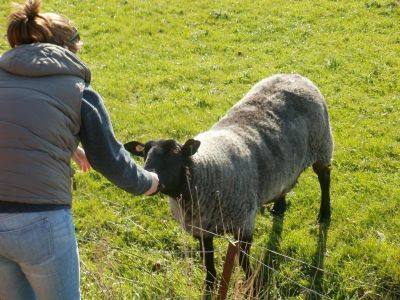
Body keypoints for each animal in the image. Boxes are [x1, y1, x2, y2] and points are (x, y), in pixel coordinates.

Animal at [123, 74, 332, 292]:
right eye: (144, 154)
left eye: (174, 155)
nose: (147, 173)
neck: (206, 170)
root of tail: (294, 75)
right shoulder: (202, 228)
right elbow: (208, 260)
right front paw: (209, 285)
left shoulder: (243, 223)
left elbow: (243, 259)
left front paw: (251, 285)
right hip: (285, 162)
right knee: (285, 181)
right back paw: (279, 206)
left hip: (322, 146)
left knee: (324, 179)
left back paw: (325, 213)